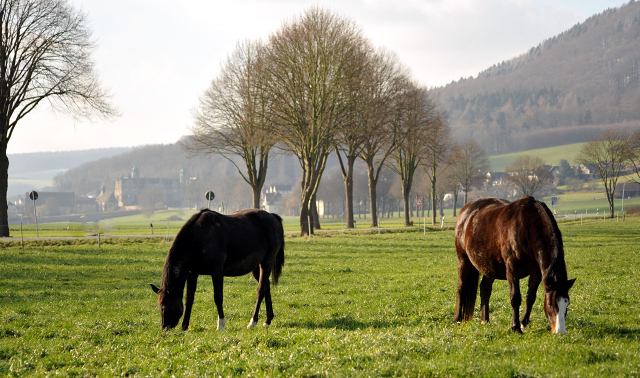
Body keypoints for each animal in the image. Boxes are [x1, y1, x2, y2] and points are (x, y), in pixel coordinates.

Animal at [151, 208, 284, 330]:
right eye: (160, 307)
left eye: (168, 307)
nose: (164, 328)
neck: (199, 237)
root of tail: (273, 217)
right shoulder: (192, 273)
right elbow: (189, 299)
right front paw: (184, 326)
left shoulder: (217, 272)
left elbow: (218, 297)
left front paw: (220, 324)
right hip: (256, 267)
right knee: (266, 285)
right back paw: (268, 320)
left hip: (266, 263)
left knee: (260, 290)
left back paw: (253, 322)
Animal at [452, 196, 576, 336]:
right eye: (550, 304)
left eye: (567, 303)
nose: (560, 332)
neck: (527, 226)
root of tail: (465, 210)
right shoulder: (512, 267)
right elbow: (515, 297)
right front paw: (516, 327)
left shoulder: (537, 272)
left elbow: (530, 297)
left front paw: (523, 323)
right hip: (463, 260)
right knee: (461, 288)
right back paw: (457, 319)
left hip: (489, 266)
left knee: (485, 289)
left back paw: (485, 320)